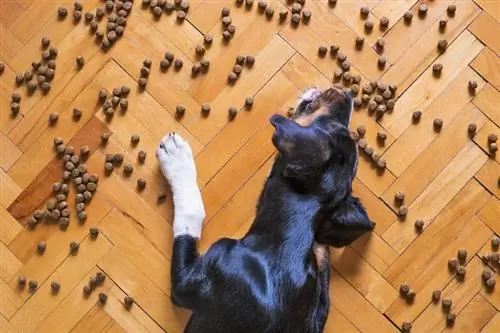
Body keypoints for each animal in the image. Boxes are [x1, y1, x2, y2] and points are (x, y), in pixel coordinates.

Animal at [156, 87, 376, 330]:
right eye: (340, 127)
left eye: (330, 127)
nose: (347, 94)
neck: (284, 238)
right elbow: (322, 261)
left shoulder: (187, 282)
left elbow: (190, 216)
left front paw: (176, 158)